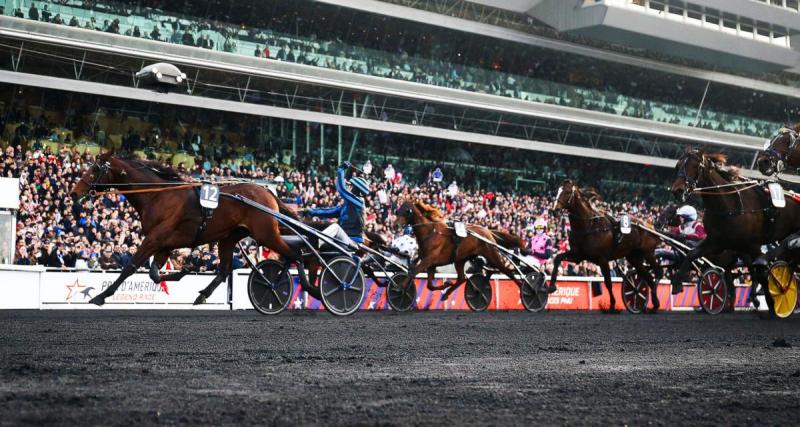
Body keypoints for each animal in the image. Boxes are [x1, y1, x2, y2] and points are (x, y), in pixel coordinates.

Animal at [70, 152, 302, 306]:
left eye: (95, 169)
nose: (74, 192)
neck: (158, 196)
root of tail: (268, 193)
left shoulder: (154, 239)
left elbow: (130, 267)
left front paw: (101, 296)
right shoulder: (164, 244)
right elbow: (154, 274)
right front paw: (183, 271)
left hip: (265, 233)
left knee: (295, 255)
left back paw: (298, 285)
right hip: (228, 238)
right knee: (223, 271)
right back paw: (202, 295)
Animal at [396, 201, 532, 300]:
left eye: (406, 211)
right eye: (398, 210)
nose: (396, 223)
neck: (431, 232)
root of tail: (487, 231)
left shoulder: (429, 259)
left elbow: (413, 272)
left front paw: (399, 287)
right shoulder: (430, 263)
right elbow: (429, 285)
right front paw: (445, 284)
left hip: (491, 255)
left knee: (508, 272)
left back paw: (526, 290)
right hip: (460, 259)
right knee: (461, 278)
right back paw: (447, 294)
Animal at [552, 180, 664, 310]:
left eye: (567, 191)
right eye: (557, 191)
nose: (554, 210)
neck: (589, 225)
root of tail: (650, 226)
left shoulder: (603, 259)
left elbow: (608, 283)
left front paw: (612, 304)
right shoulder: (578, 256)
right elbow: (557, 258)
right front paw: (551, 287)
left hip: (648, 253)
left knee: (658, 272)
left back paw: (654, 301)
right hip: (634, 258)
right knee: (648, 277)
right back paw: (651, 302)